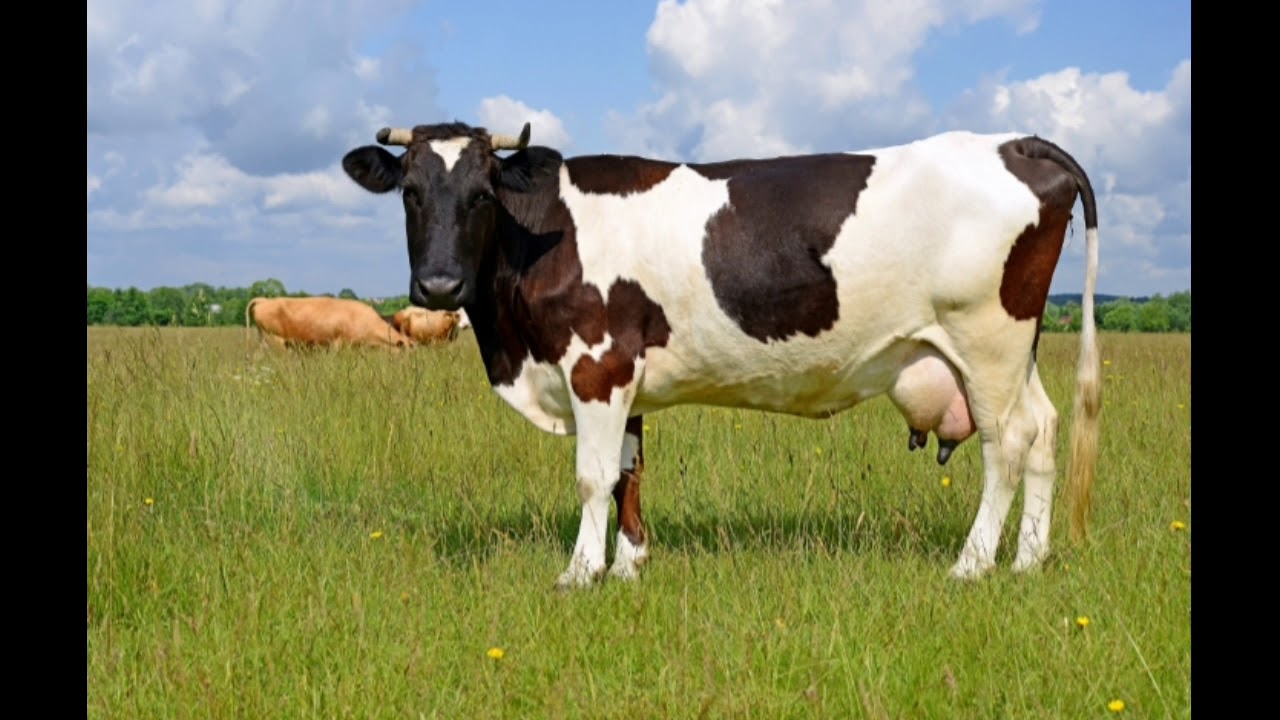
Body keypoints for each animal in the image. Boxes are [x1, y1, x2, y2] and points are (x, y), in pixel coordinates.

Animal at [341, 121, 1101, 590]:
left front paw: (580, 573)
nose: (439, 285)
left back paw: (972, 565)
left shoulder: (597, 362)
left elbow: (593, 477)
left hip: (986, 341)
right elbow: (630, 471)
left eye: (481, 195)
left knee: (1006, 446)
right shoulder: (628, 375)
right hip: (1014, 351)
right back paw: (1029, 560)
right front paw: (629, 565)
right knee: (1044, 431)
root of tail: (1015, 143)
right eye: (411, 193)